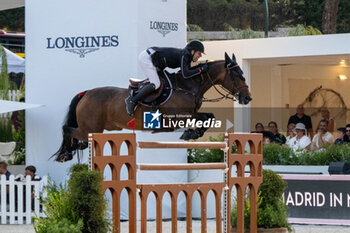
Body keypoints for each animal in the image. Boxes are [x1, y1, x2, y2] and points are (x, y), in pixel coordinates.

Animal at [52, 52, 252, 162]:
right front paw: (191, 133)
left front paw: (193, 133)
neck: (188, 86)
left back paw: (77, 147)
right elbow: (205, 118)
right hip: (90, 128)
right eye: (237, 75)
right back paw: (66, 154)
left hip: (99, 128)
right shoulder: (176, 118)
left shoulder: (191, 114)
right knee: (67, 129)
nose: (247, 98)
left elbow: (209, 116)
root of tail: (86, 93)